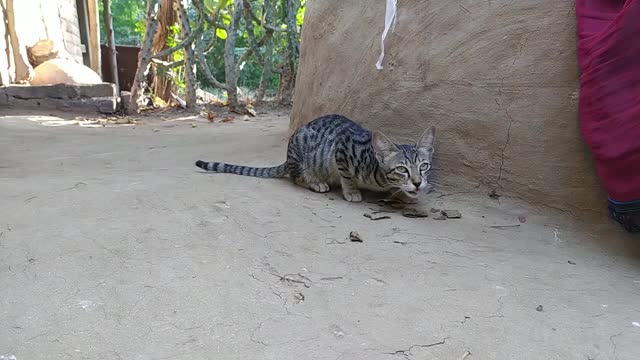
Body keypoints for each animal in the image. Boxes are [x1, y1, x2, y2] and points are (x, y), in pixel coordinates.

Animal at [195, 114, 436, 202]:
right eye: (402, 169)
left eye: (424, 166)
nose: (417, 182)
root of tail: (288, 156)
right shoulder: (342, 150)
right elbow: (347, 176)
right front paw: (351, 191)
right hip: (303, 155)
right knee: (296, 177)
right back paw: (315, 182)